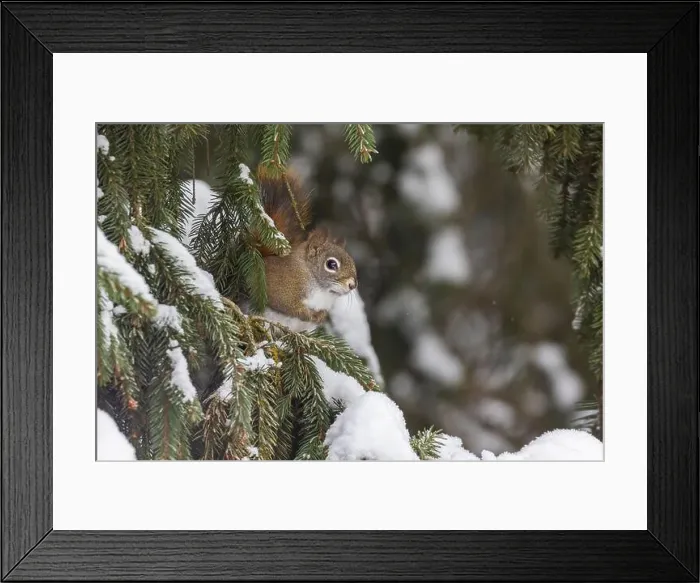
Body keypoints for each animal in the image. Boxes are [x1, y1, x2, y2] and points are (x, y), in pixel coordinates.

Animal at [251, 166, 358, 331]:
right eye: (331, 264)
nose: (352, 285)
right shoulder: (278, 286)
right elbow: (285, 304)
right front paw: (306, 313)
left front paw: (320, 316)